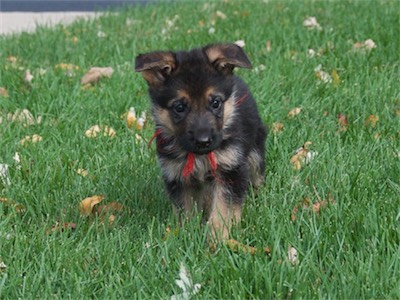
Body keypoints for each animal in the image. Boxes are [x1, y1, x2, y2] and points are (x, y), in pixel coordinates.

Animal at [136, 42, 268, 240]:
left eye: (215, 103)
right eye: (179, 107)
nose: (203, 141)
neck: (198, 156)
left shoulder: (230, 169)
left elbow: (223, 208)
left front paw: (218, 237)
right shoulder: (178, 176)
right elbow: (185, 210)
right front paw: (186, 234)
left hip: (255, 152)